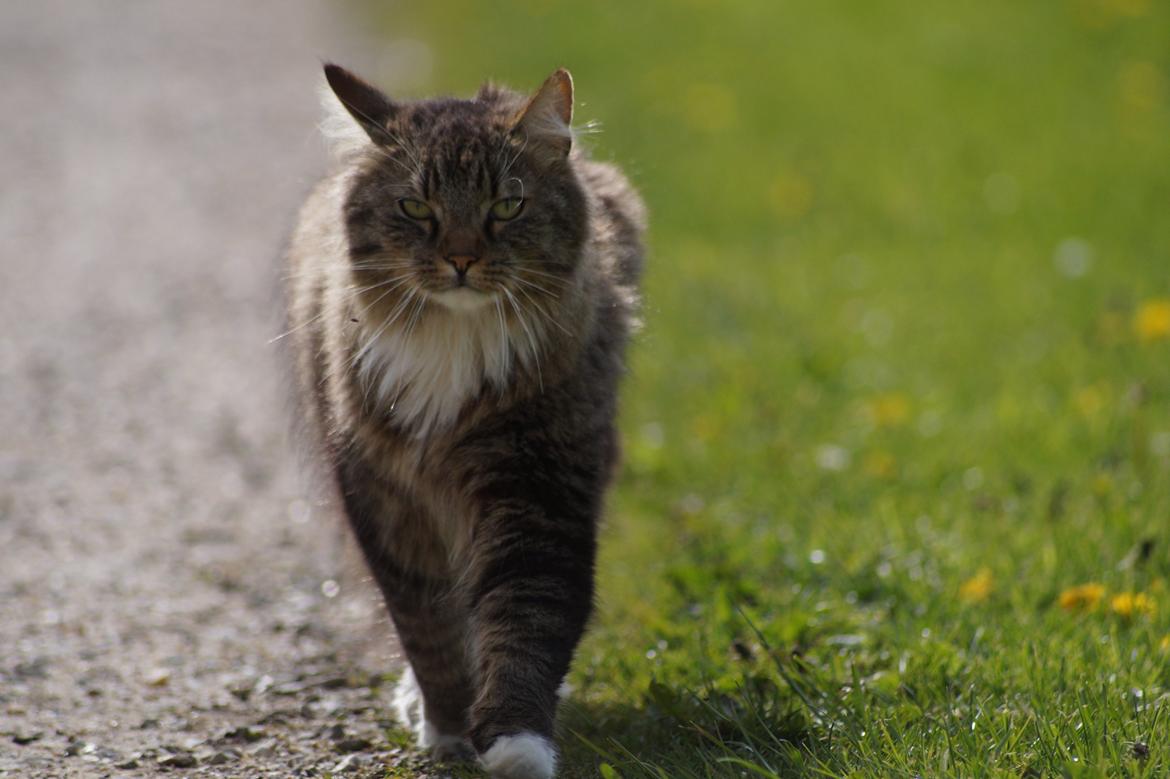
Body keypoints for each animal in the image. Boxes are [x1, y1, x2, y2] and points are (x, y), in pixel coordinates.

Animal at [284, 66, 650, 776]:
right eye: (415, 209)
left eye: (506, 207)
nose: (460, 259)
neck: (454, 342)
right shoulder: (383, 496)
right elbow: (427, 626)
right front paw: (449, 727)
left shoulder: (537, 484)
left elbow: (525, 617)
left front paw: (515, 742)